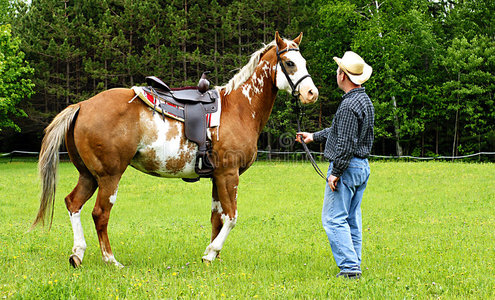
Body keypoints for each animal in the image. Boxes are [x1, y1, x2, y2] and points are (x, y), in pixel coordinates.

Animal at [32, 31, 318, 268]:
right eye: (290, 63)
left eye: (304, 62)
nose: (311, 93)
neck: (239, 108)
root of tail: (82, 105)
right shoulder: (229, 174)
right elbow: (232, 217)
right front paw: (211, 252)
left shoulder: (216, 177)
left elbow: (217, 218)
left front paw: (213, 257)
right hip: (109, 176)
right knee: (100, 214)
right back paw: (111, 260)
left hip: (88, 175)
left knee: (73, 204)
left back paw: (77, 253)